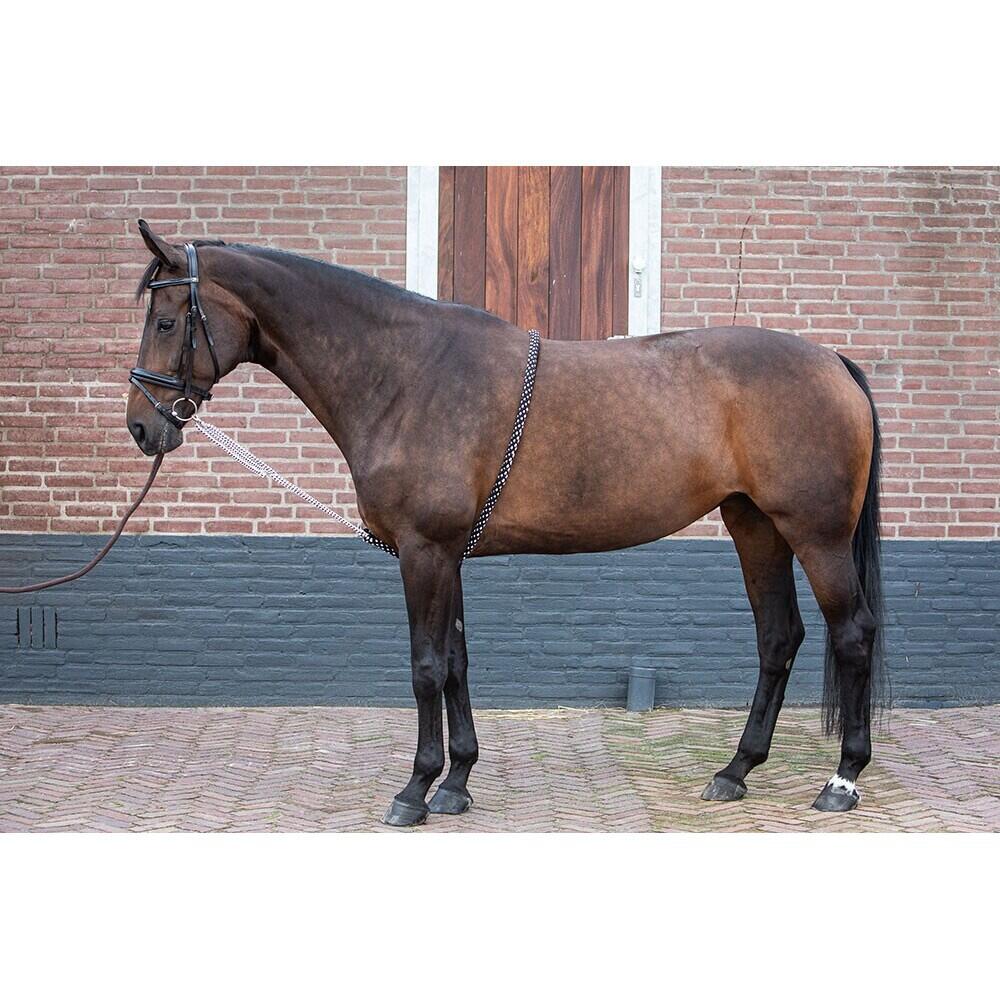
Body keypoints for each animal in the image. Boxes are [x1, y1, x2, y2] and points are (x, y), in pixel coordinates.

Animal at [127, 220, 885, 826]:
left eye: (165, 321)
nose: (141, 427)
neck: (406, 374)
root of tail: (832, 360)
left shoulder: (423, 551)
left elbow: (426, 666)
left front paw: (414, 790)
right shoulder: (446, 553)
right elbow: (458, 662)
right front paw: (457, 783)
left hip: (815, 535)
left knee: (852, 633)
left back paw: (842, 779)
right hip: (755, 526)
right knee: (778, 637)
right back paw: (734, 771)